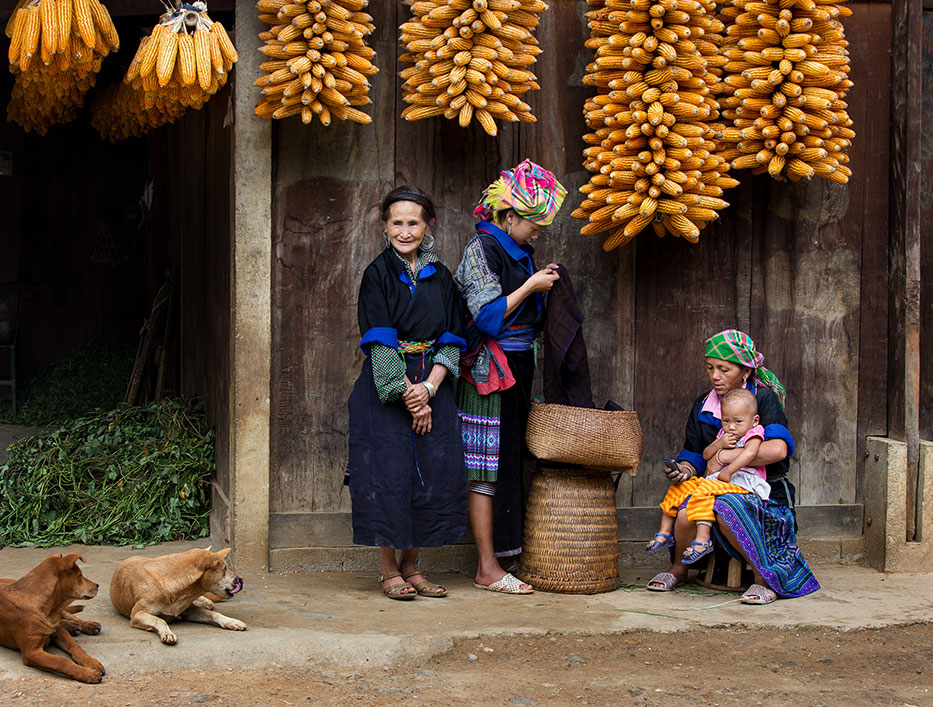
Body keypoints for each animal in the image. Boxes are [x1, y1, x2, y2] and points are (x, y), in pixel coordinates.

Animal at [0, 556, 106, 684]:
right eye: (80, 575)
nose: (97, 585)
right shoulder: (31, 652)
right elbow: (61, 661)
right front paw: (87, 673)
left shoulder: (58, 631)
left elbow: (74, 646)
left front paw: (90, 662)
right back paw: (72, 627)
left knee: (67, 616)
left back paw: (88, 625)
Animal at [110, 548, 244, 648]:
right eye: (225, 568)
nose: (239, 579)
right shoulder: (137, 614)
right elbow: (160, 620)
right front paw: (167, 633)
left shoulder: (189, 610)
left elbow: (215, 614)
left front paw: (231, 621)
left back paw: (206, 601)